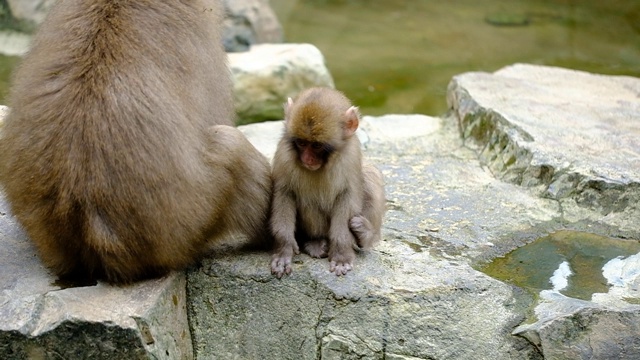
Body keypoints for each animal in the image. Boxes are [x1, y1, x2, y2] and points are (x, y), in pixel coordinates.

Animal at [270, 86, 384, 278]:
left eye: (316, 145)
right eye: (301, 143)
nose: (307, 159)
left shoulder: (350, 156)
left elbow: (347, 196)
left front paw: (341, 255)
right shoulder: (284, 154)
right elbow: (284, 193)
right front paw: (283, 251)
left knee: (369, 175)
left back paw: (365, 234)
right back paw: (315, 242)